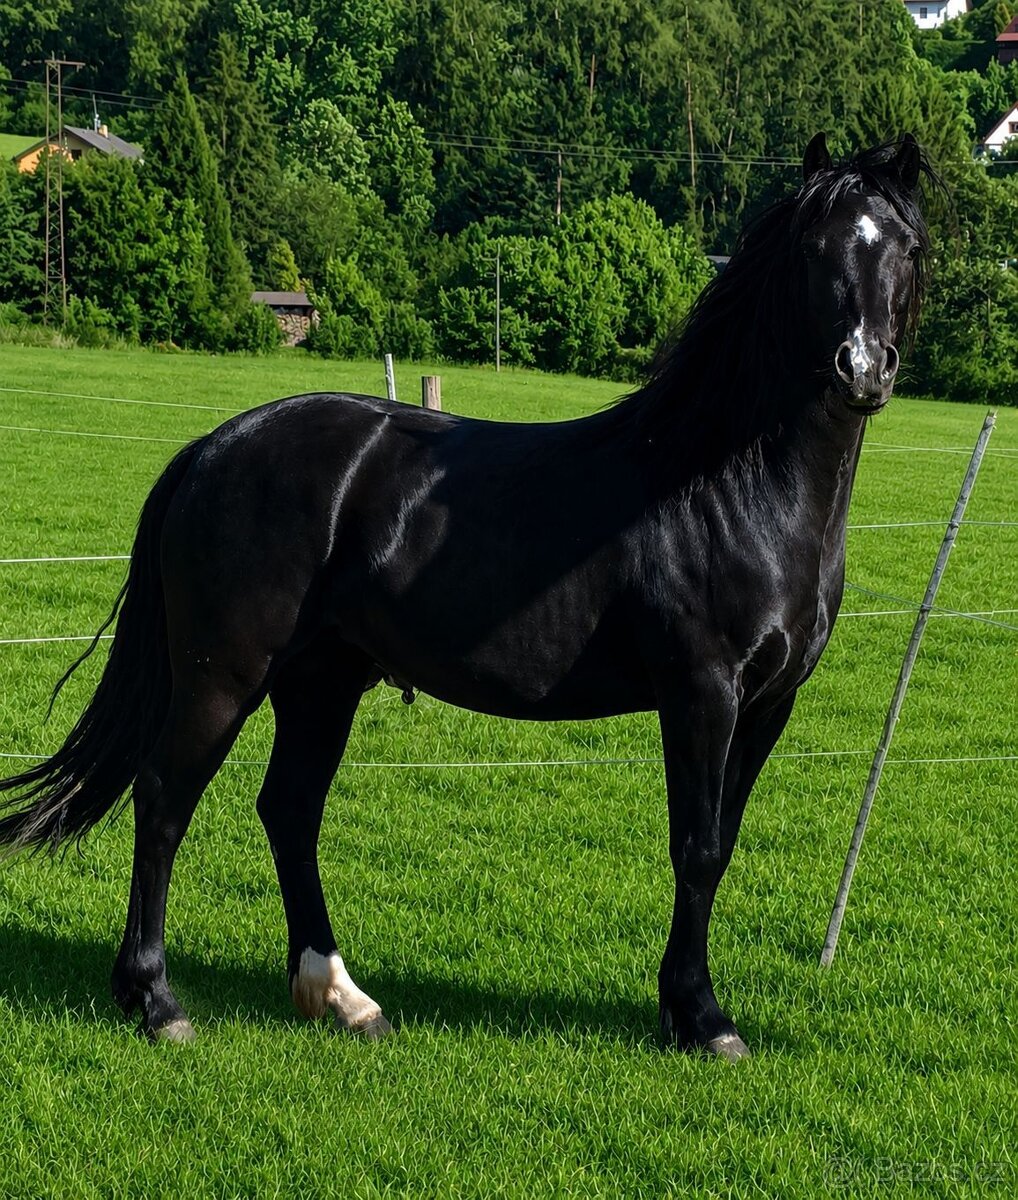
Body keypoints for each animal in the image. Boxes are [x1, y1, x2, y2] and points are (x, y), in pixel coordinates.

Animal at [0, 134, 932, 1060]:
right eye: (813, 247)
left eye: (908, 247)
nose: (862, 368)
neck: (728, 483)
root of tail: (214, 447)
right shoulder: (701, 693)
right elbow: (696, 848)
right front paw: (703, 1018)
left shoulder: (769, 705)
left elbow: (721, 846)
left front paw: (682, 1008)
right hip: (223, 676)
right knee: (164, 801)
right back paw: (157, 1001)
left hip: (322, 680)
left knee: (289, 810)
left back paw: (341, 997)